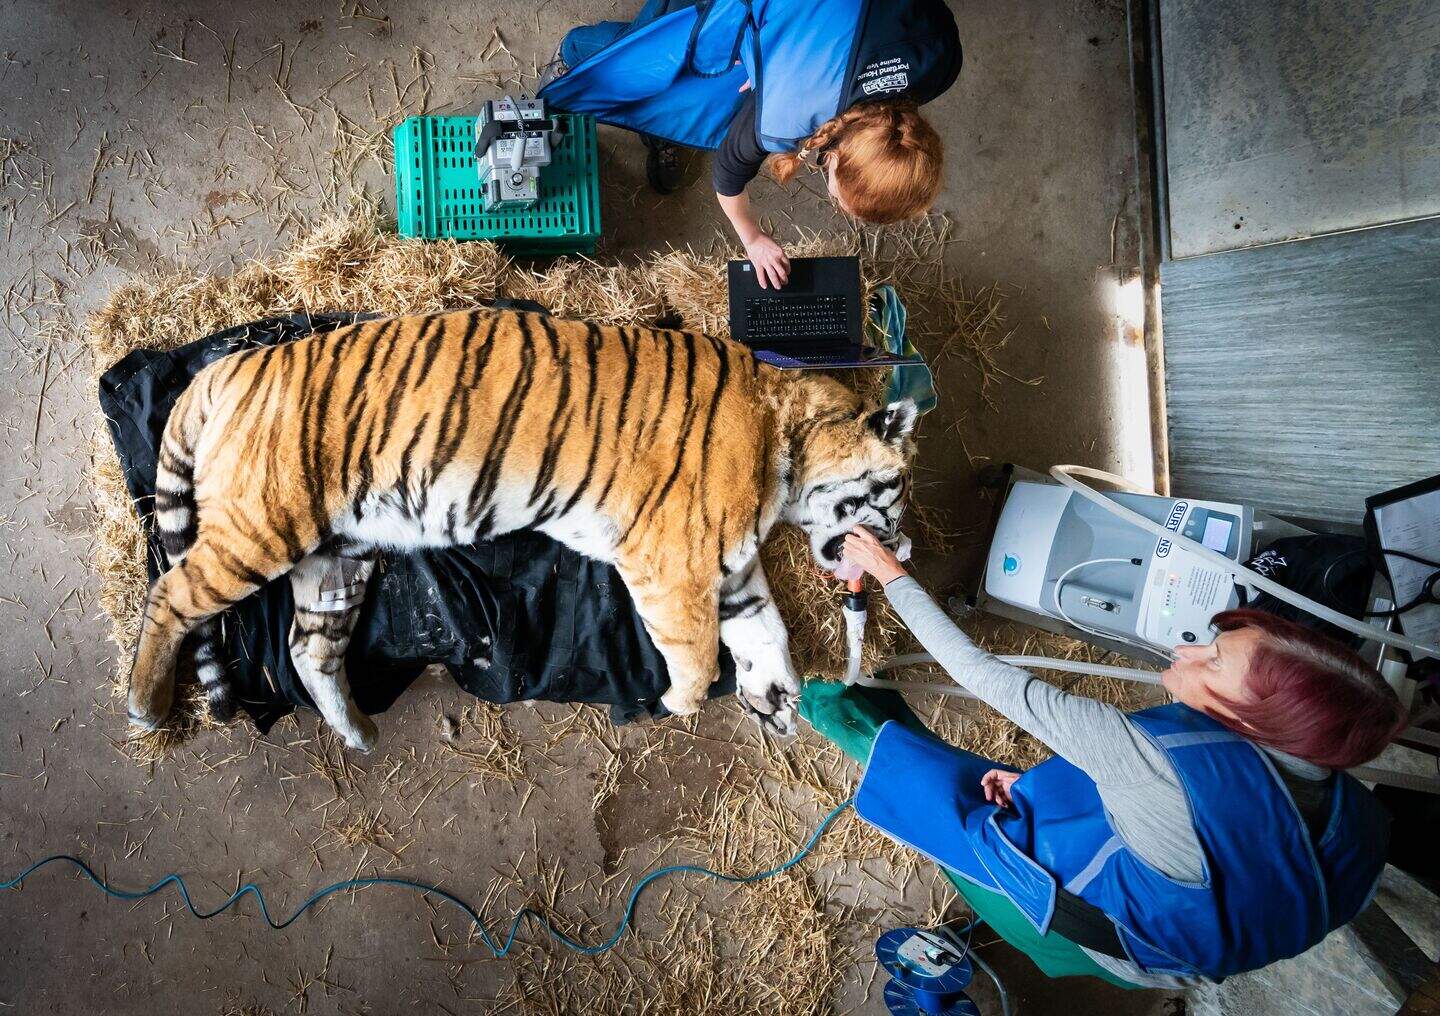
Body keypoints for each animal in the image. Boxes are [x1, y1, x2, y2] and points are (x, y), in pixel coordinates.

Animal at [126, 308, 917, 750]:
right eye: (900, 490)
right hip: (263, 526)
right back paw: (145, 707)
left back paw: (356, 733)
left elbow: (765, 635)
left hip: (337, 555)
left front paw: (780, 702)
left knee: (306, 647)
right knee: (169, 595)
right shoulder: (674, 565)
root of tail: (227, 367)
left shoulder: (737, 570)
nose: (903, 549)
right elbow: (694, 650)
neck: (788, 447)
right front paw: (682, 704)